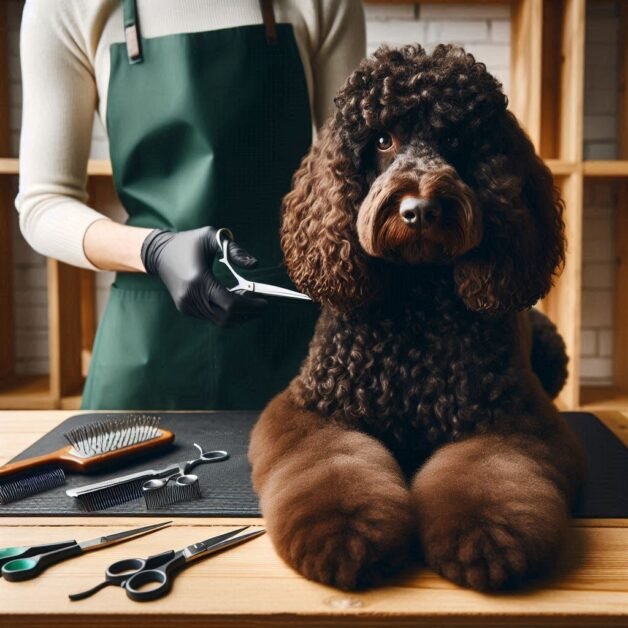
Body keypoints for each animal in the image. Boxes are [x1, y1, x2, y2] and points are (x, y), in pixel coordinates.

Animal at [248, 44, 588, 592]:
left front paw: (484, 534)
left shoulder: (514, 417)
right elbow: (333, 467)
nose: (420, 210)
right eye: (383, 139)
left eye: (454, 139)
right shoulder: (311, 409)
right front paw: (347, 531)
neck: (417, 308)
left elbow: (489, 477)